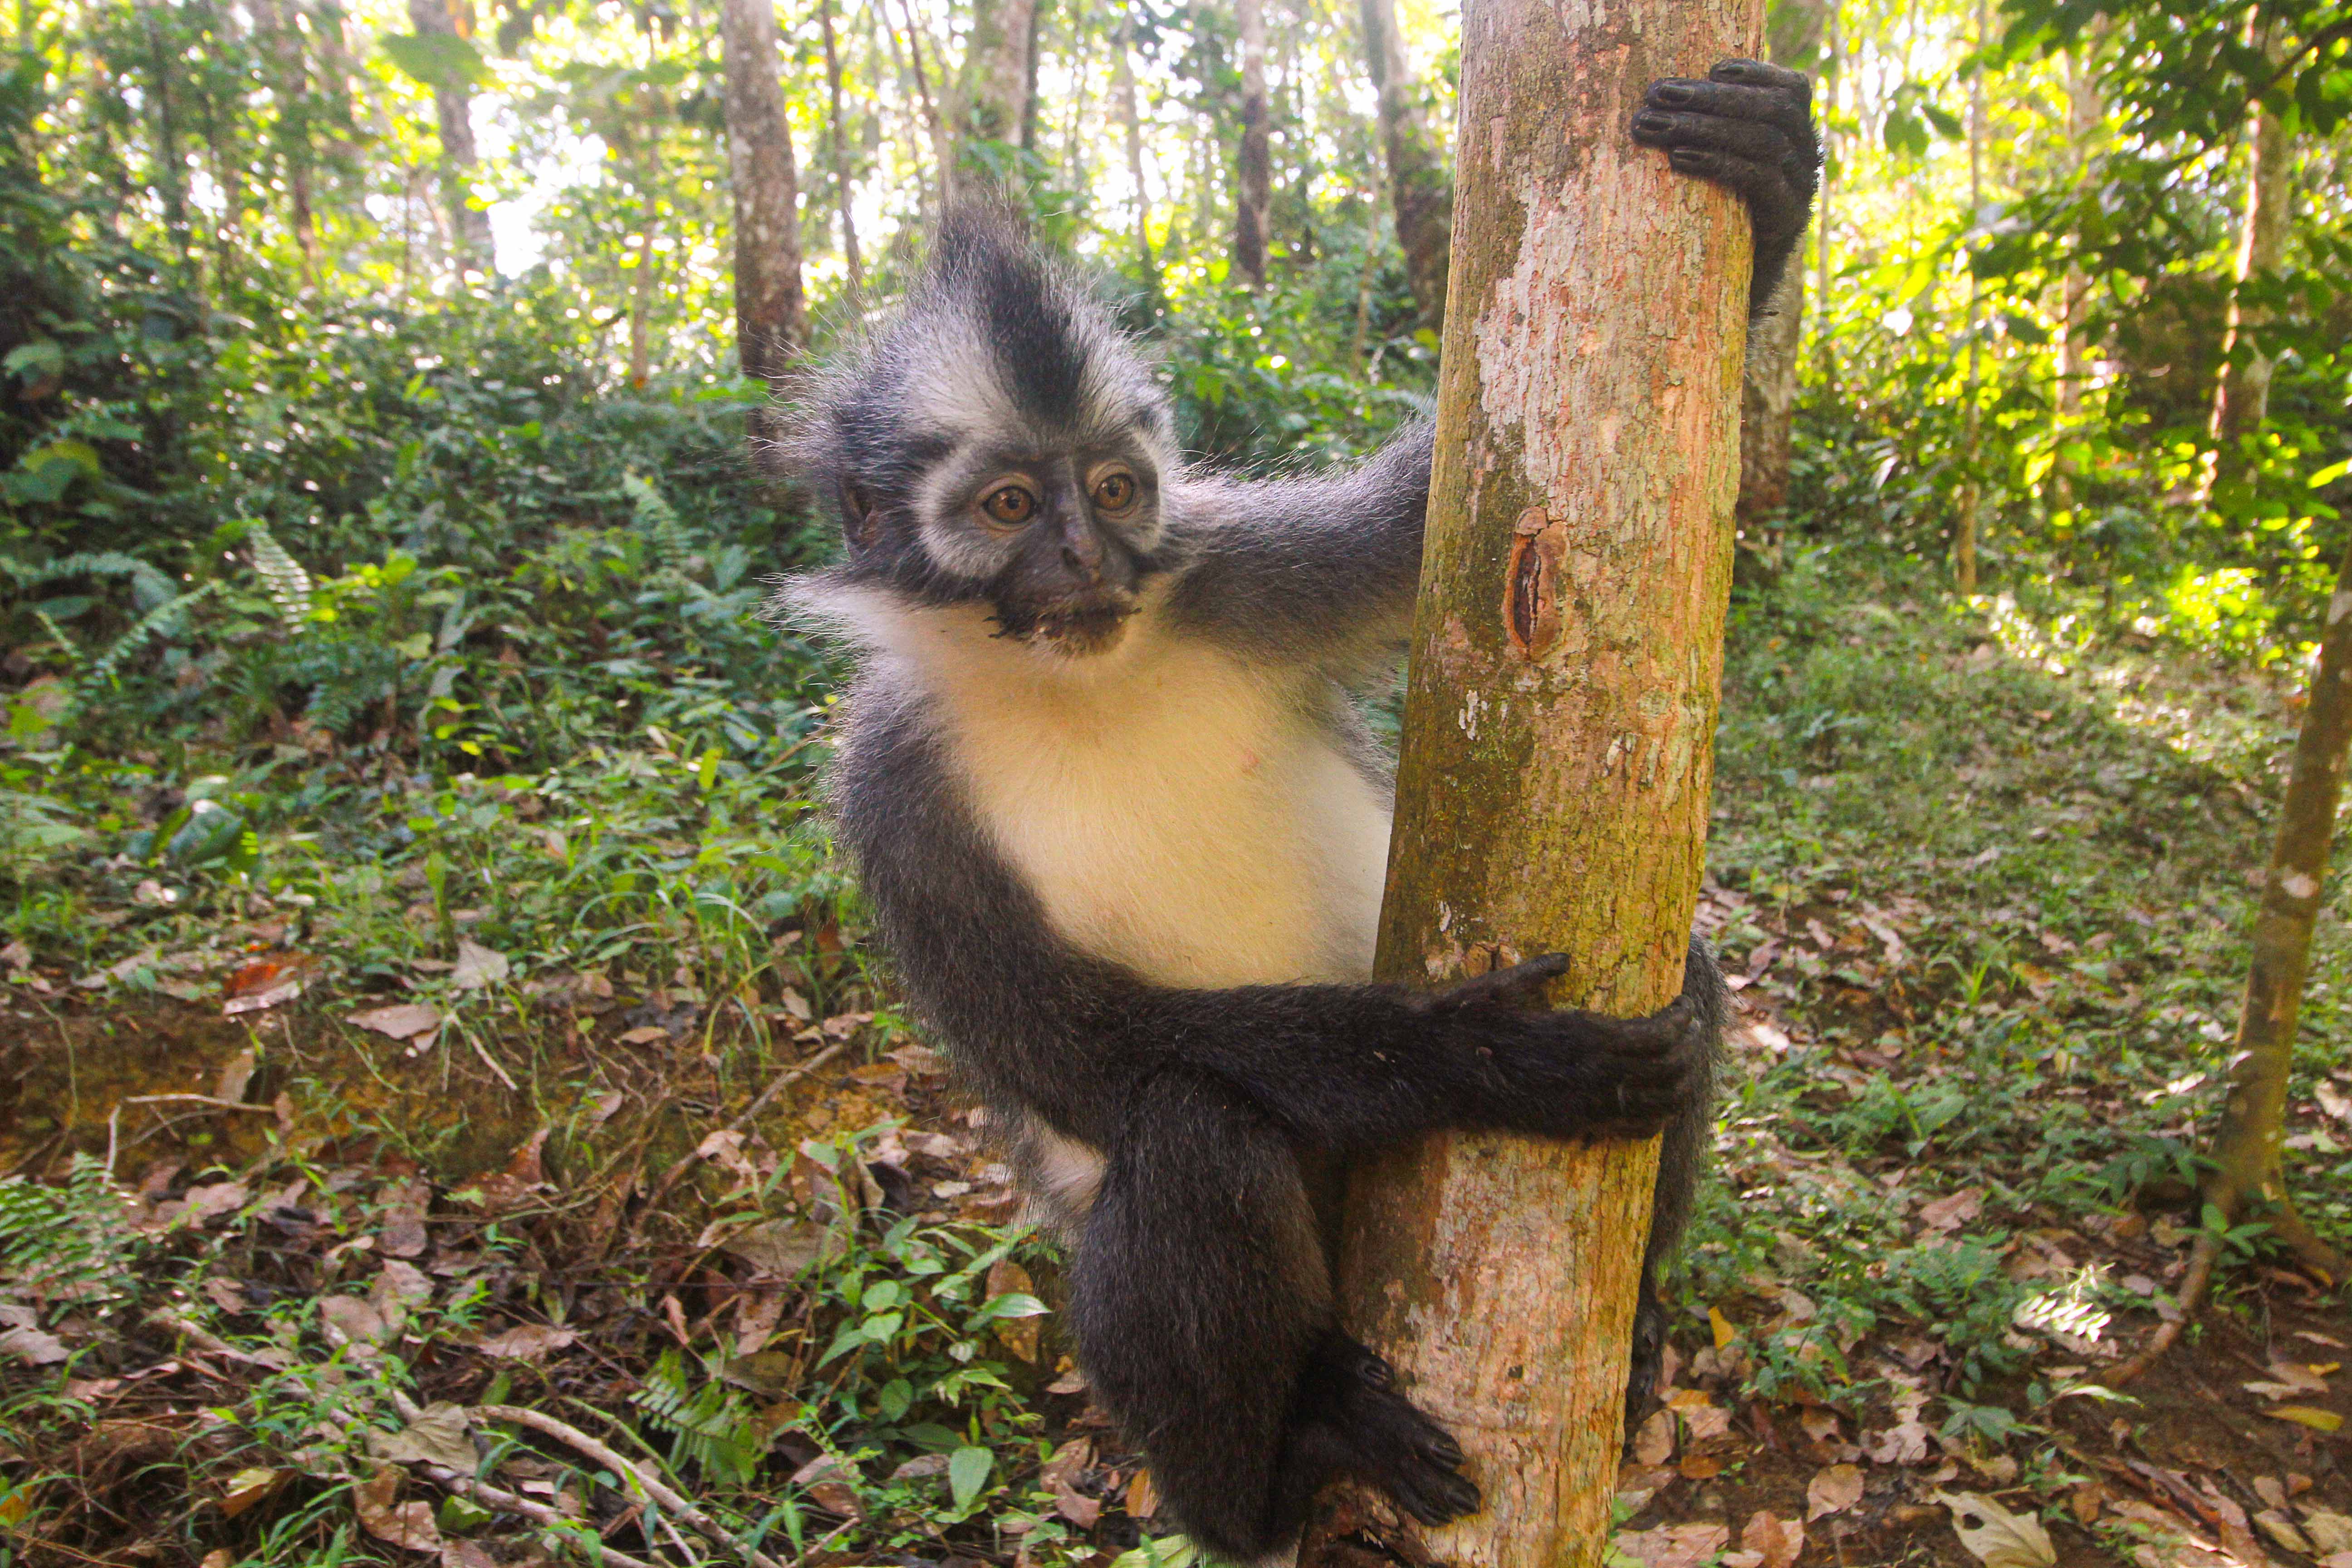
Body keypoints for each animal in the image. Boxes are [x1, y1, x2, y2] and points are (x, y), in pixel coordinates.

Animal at [776, 61, 1816, 1568]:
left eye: (1114, 489)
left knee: (1691, 979)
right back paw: (1283, 1467)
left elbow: (1435, 525)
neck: (1077, 681)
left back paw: (1632, 1335)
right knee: (1194, 1134)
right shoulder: (892, 790)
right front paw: (1473, 1059)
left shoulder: (1238, 572)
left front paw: (1775, 179)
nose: (1088, 559)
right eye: (1010, 505)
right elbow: (1071, 1050)